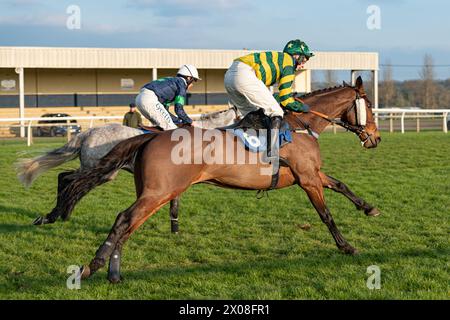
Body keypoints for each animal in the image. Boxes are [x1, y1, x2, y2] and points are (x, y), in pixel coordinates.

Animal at [15, 107, 239, 230]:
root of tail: (87, 133)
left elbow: (174, 204)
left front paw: (174, 227)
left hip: (98, 169)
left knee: (68, 180)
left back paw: (61, 213)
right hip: (99, 169)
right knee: (69, 181)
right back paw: (56, 215)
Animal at [55, 76, 380, 282]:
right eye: (370, 106)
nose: (375, 138)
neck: (301, 124)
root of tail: (150, 138)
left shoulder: (312, 174)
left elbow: (341, 185)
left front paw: (369, 208)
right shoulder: (308, 179)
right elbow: (326, 214)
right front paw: (346, 246)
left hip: (152, 192)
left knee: (128, 223)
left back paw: (112, 271)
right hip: (159, 191)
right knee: (124, 218)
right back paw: (94, 265)